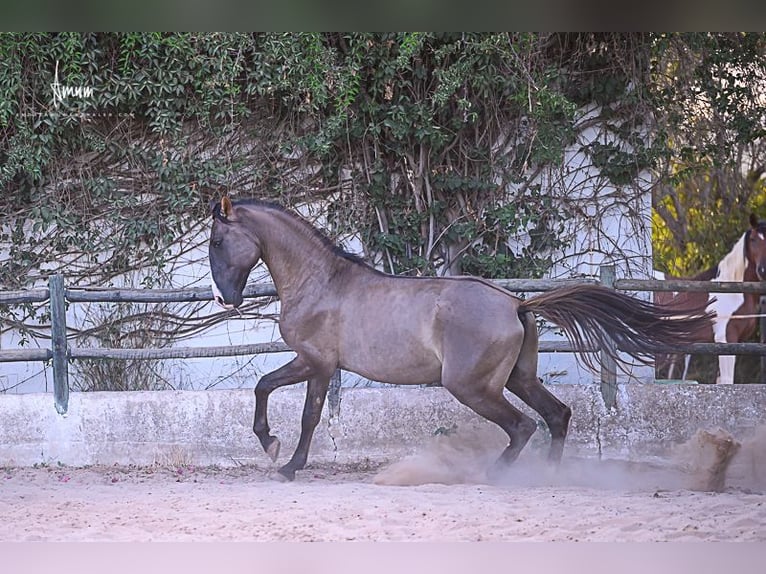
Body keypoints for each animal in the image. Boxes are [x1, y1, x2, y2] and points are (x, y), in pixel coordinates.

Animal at [208, 197, 712, 481]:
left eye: (216, 242)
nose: (224, 298)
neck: (321, 280)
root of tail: (516, 305)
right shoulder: (316, 364)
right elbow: (277, 395)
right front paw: (278, 451)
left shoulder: (315, 362)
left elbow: (293, 406)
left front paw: (282, 459)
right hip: (517, 379)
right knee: (557, 415)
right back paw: (550, 475)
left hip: (471, 387)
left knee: (523, 425)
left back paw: (496, 474)